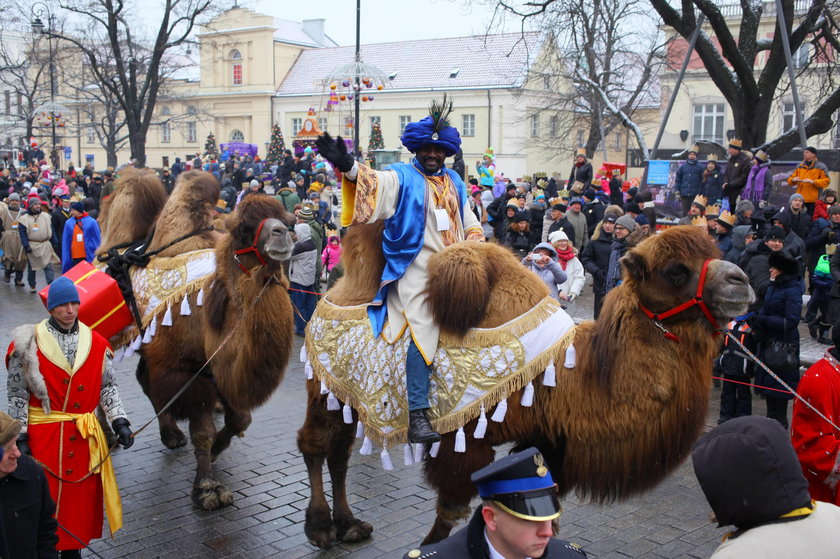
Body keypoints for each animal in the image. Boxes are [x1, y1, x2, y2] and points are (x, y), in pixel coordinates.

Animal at [99, 173, 296, 510]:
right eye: (243, 229)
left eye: (286, 219)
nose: (282, 234)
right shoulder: (185, 368)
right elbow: (202, 430)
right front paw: (208, 488)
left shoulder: (219, 368)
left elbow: (241, 419)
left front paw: (217, 449)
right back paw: (113, 437)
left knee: (143, 379)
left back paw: (170, 436)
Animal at [296, 224, 756, 548]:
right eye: (676, 271)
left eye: (715, 254)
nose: (741, 282)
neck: (570, 374)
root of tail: (333, 290)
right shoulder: (464, 438)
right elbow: (450, 513)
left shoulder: (550, 439)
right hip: (321, 388)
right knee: (316, 444)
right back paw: (322, 530)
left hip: (342, 398)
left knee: (339, 449)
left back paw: (349, 525)